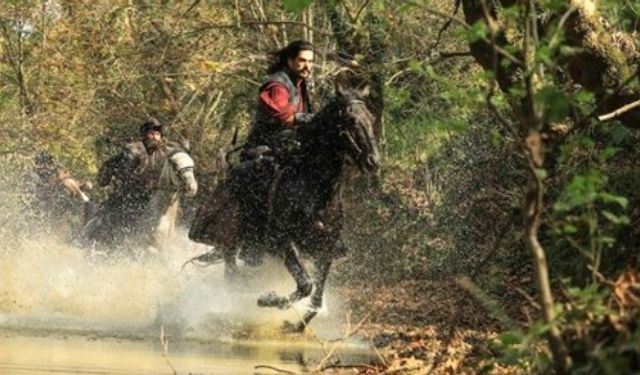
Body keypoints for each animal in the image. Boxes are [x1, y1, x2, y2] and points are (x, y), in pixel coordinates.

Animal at [189, 85, 380, 332]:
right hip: (230, 243)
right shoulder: (283, 242)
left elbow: (316, 299)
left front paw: (296, 324)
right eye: (349, 119)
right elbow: (306, 285)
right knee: (231, 277)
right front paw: (269, 299)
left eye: (371, 118)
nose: (373, 161)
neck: (315, 191)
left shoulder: (325, 250)